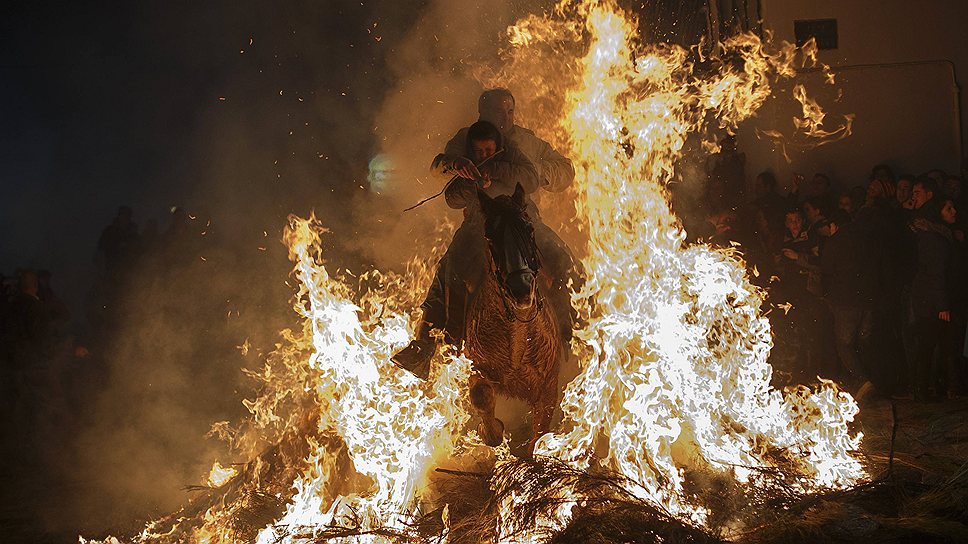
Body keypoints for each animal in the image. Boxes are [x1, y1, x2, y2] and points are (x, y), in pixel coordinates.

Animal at [464, 183, 568, 450]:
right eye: (490, 236)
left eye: (529, 230)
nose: (521, 289)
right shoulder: (475, 368)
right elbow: (481, 397)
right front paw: (491, 431)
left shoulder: (548, 387)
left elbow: (539, 434)